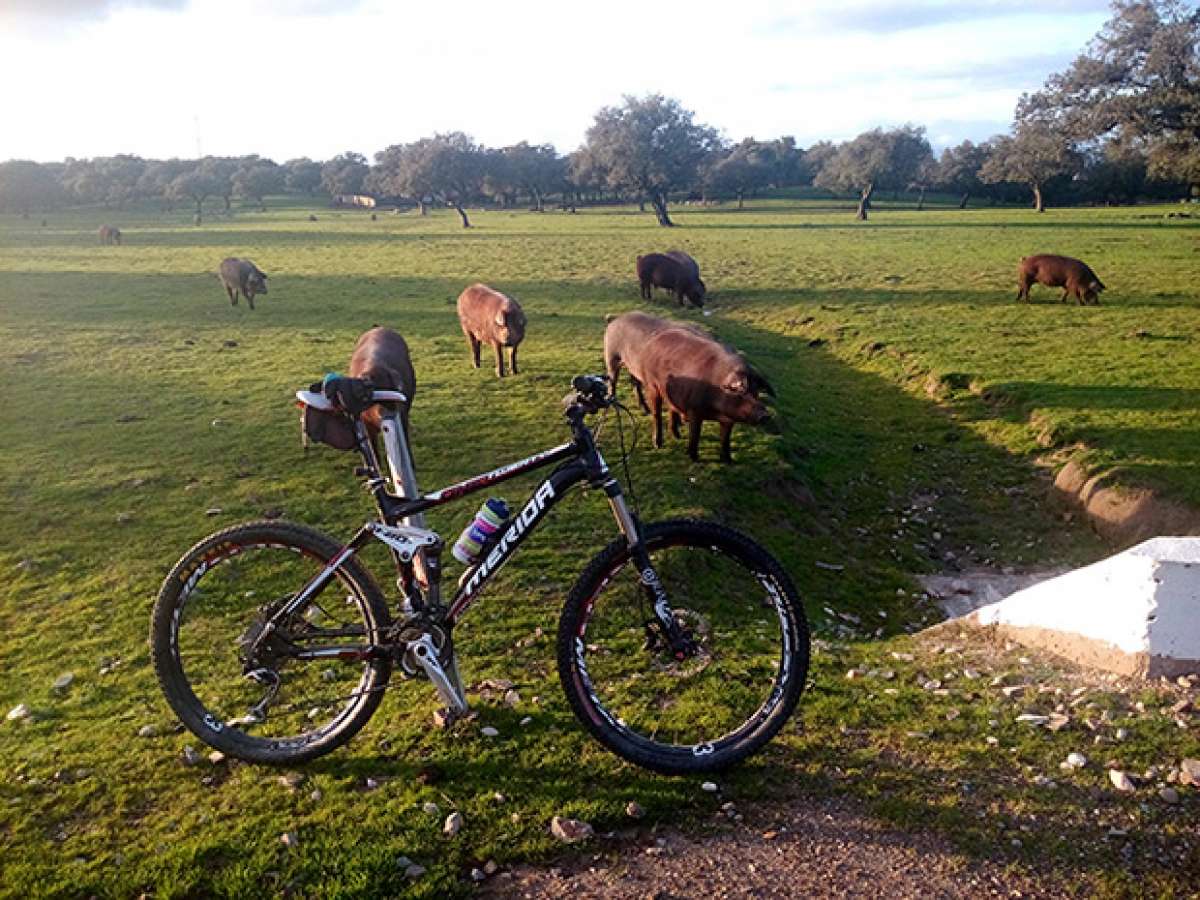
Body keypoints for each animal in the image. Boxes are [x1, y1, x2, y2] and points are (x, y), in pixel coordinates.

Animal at [633, 326, 772, 465]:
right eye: (740, 391)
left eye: (756, 391)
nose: (765, 415)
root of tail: (655, 339)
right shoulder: (694, 410)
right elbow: (695, 434)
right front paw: (694, 459)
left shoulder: (728, 420)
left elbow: (725, 439)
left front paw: (729, 461)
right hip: (652, 386)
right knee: (656, 414)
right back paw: (658, 444)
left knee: (672, 409)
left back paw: (677, 436)